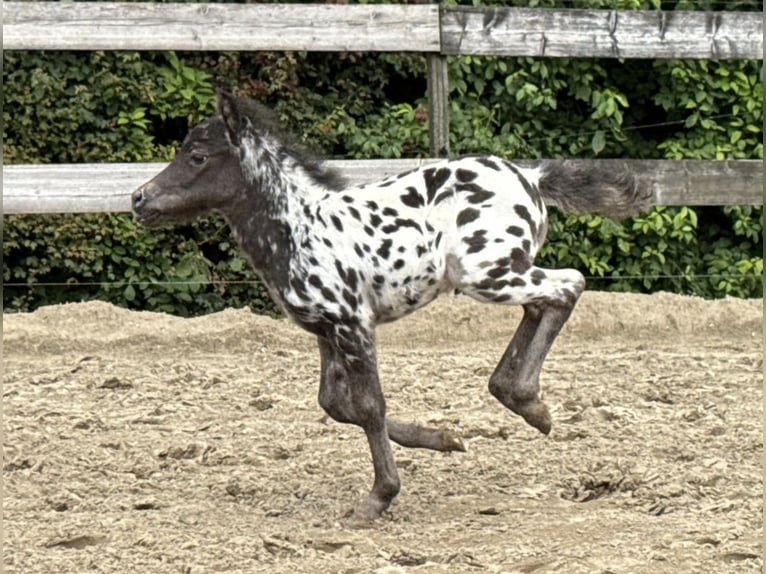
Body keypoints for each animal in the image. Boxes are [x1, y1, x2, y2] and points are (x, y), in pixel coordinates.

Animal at [132, 91, 650, 520]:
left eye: (197, 156)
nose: (139, 199)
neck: (299, 228)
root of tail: (532, 178)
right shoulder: (326, 331)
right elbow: (336, 404)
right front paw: (444, 438)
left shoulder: (353, 324)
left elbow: (368, 406)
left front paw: (379, 498)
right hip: (502, 270)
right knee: (543, 302)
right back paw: (518, 396)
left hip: (486, 273)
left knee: (567, 286)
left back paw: (529, 403)